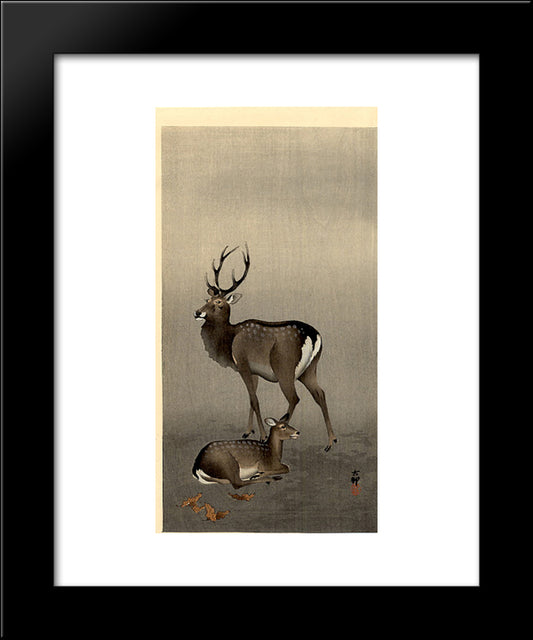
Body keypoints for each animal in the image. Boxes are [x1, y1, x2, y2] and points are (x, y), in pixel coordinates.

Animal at [194, 244, 337, 451]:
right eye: (207, 299)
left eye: (219, 303)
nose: (197, 312)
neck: (229, 342)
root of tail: (315, 335)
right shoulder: (253, 371)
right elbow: (250, 398)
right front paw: (247, 431)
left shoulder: (242, 362)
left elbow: (254, 399)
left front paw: (261, 436)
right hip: (310, 369)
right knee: (320, 393)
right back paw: (331, 441)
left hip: (284, 367)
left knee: (294, 398)